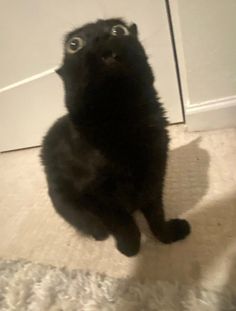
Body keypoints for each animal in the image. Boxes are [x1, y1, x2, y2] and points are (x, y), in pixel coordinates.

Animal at [41, 20, 190, 258]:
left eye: (119, 30)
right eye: (74, 44)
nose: (100, 39)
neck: (122, 121)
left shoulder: (155, 175)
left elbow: (156, 217)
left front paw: (168, 236)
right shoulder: (96, 197)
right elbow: (125, 226)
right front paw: (129, 249)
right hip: (63, 199)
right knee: (90, 224)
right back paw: (100, 233)